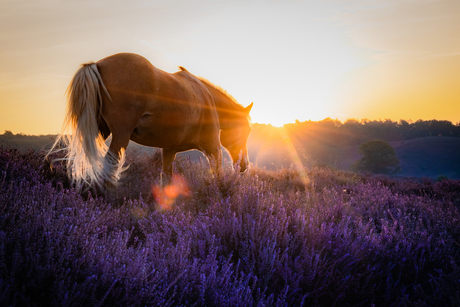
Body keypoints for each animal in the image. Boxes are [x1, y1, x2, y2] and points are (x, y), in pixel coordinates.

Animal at [50, 52, 253, 190]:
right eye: (247, 130)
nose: (244, 166)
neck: (206, 97)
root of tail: (97, 65)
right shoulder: (213, 148)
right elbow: (218, 176)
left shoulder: (169, 150)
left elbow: (167, 179)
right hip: (120, 136)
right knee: (110, 167)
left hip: (99, 131)